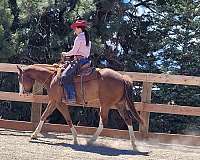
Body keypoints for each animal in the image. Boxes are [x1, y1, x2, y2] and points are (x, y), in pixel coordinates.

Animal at [16, 63, 144, 150]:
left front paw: (33, 135)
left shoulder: (56, 101)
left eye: (20, 78)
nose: (22, 93)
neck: (52, 78)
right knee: (128, 119)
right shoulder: (57, 102)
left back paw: (91, 141)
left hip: (105, 105)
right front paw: (75, 139)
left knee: (104, 121)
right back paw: (133, 144)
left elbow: (51, 116)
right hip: (119, 104)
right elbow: (58, 117)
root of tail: (122, 78)